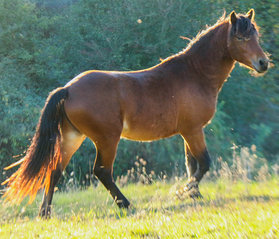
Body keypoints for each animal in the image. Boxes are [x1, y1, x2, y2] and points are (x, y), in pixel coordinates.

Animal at [1, 9, 270, 218]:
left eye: (256, 35)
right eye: (240, 37)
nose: (263, 63)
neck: (195, 74)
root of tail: (68, 89)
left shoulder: (188, 132)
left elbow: (191, 164)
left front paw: (194, 195)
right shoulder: (193, 130)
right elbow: (203, 163)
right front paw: (183, 192)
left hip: (72, 137)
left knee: (55, 170)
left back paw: (45, 213)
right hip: (107, 139)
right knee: (102, 171)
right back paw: (126, 204)